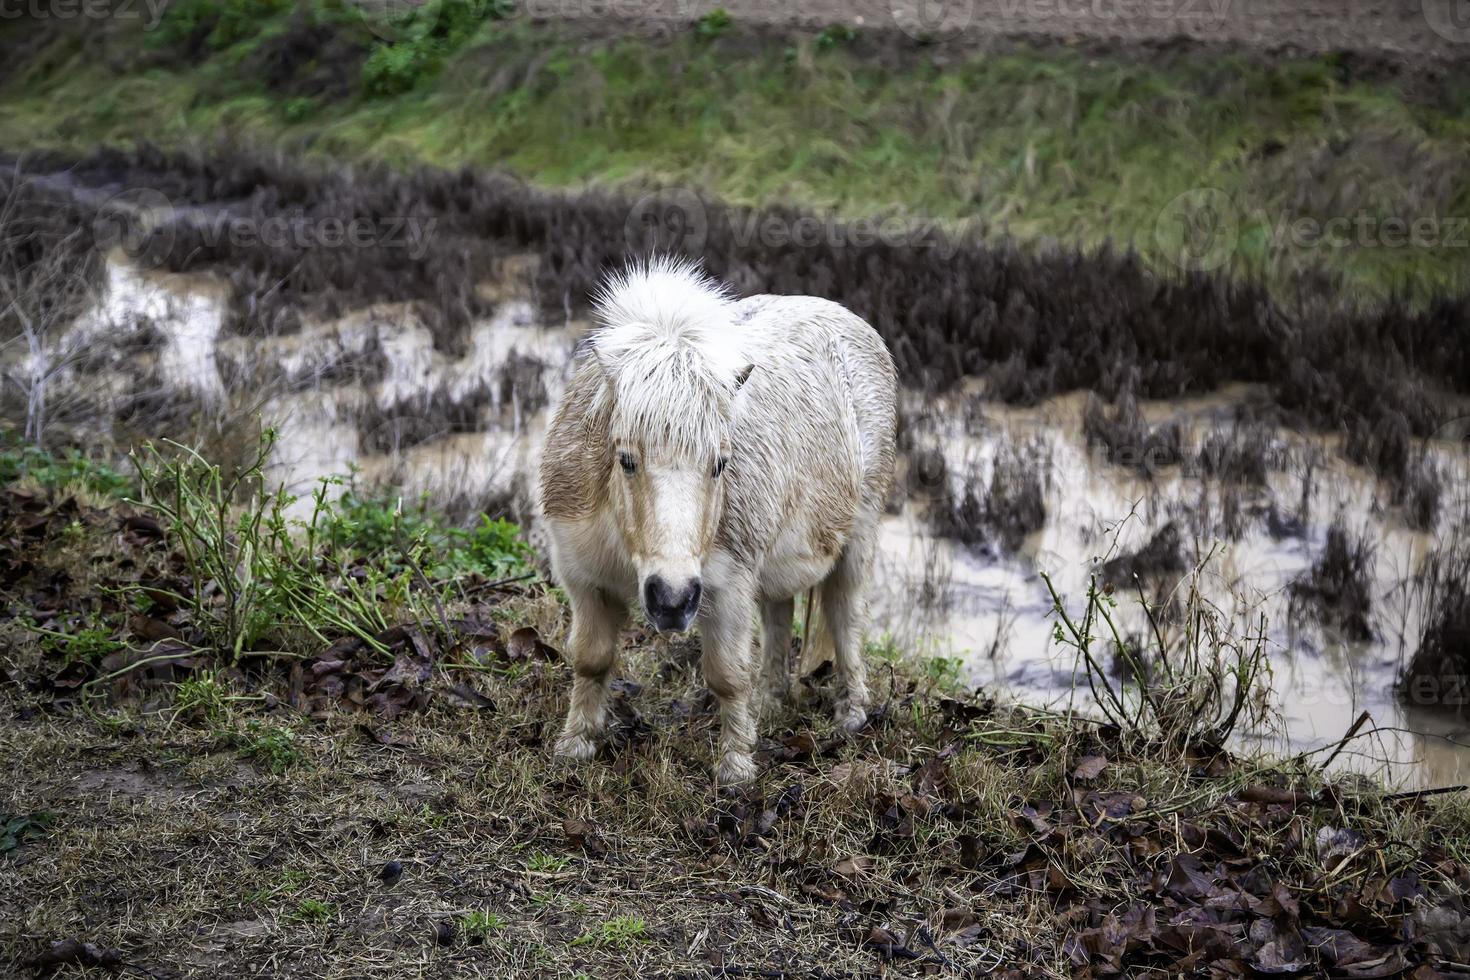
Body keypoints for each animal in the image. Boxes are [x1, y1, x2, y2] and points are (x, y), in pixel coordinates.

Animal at [535, 257, 887, 787]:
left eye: (721, 463)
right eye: (626, 459)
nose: (672, 600)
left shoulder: (727, 586)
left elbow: (727, 675)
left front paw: (736, 769)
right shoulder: (583, 578)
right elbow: (591, 659)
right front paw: (574, 746)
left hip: (858, 534)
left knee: (845, 616)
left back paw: (851, 714)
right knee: (779, 615)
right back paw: (771, 702)